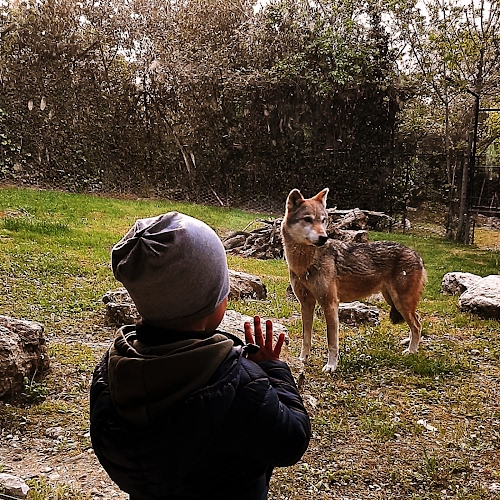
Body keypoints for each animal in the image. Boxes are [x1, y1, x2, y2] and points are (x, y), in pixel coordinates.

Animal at [281, 188, 427, 372]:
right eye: (308, 219)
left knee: (417, 325)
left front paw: (331, 366)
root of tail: (416, 254)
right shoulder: (306, 304)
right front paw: (302, 360)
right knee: (417, 322)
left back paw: (411, 351)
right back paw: (409, 344)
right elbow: (306, 337)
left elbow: (332, 342)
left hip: (401, 303)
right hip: (393, 300)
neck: (304, 264)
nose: (324, 238)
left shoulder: (330, 304)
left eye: (323, 220)